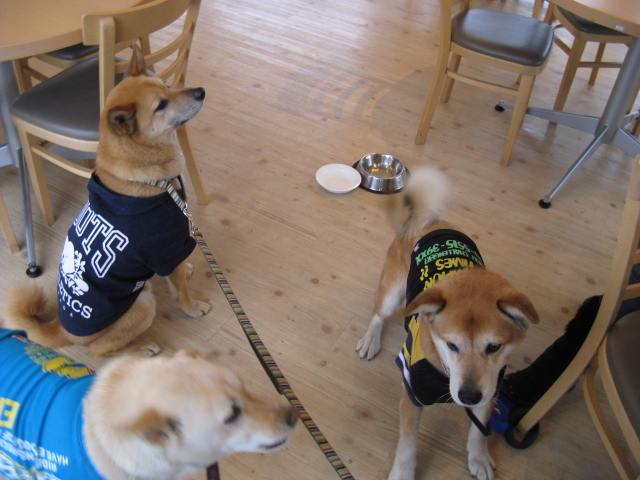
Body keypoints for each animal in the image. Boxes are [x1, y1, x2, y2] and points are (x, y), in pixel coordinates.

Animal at [4, 46, 211, 357]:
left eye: (167, 84)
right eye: (161, 105)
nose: (200, 91)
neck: (143, 178)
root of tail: (60, 327)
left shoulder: (169, 253)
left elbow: (174, 273)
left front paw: (184, 270)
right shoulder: (166, 249)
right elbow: (180, 293)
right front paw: (193, 307)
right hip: (142, 304)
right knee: (101, 350)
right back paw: (142, 348)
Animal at [355, 168, 539, 480]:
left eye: (493, 347)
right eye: (451, 345)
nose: (468, 395)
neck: (445, 371)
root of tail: (430, 221)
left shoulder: (491, 389)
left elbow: (479, 431)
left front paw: (479, 457)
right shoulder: (413, 392)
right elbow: (407, 444)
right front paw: (403, 473)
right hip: (393, 294)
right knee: (378, 314)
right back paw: (371, 339)